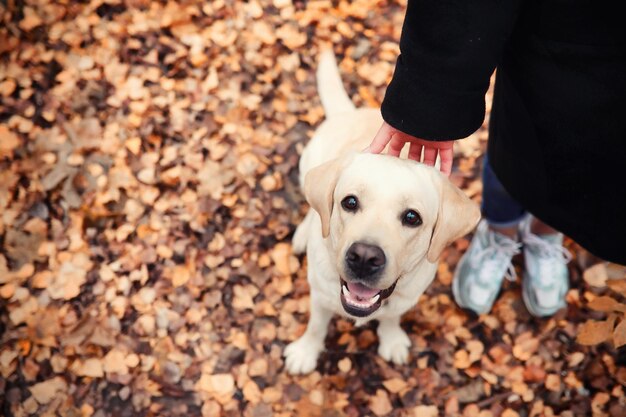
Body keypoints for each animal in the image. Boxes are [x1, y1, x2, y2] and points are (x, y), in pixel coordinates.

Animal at [282, 49, 478, 374]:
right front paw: (306, 351)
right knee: (313, 209)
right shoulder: (320, 296)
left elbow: (390, 318)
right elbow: (316, 326)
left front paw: (392, 339)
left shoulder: (404, 299)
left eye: (412, 218)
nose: (363, 257)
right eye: (349, 202)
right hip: (307, 163)